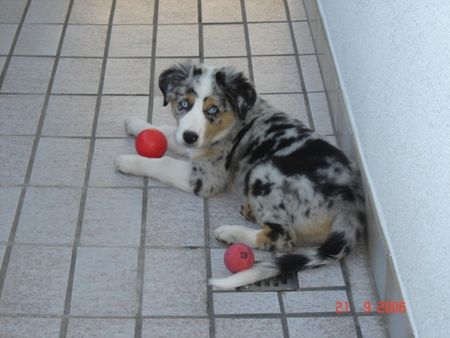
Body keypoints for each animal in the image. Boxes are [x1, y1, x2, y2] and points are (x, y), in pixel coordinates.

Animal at [116, 60, 366, 288]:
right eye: (184, 104)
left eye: (213, 110)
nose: (190, 136)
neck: (234, 121)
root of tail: (352, 204)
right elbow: (166, 132)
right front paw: (138, 125)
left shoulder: (205, 177)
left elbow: (163, 163)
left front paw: (128, 161)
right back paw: (249, 212)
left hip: (264, 172)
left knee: (284, 238)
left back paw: (231, 233)